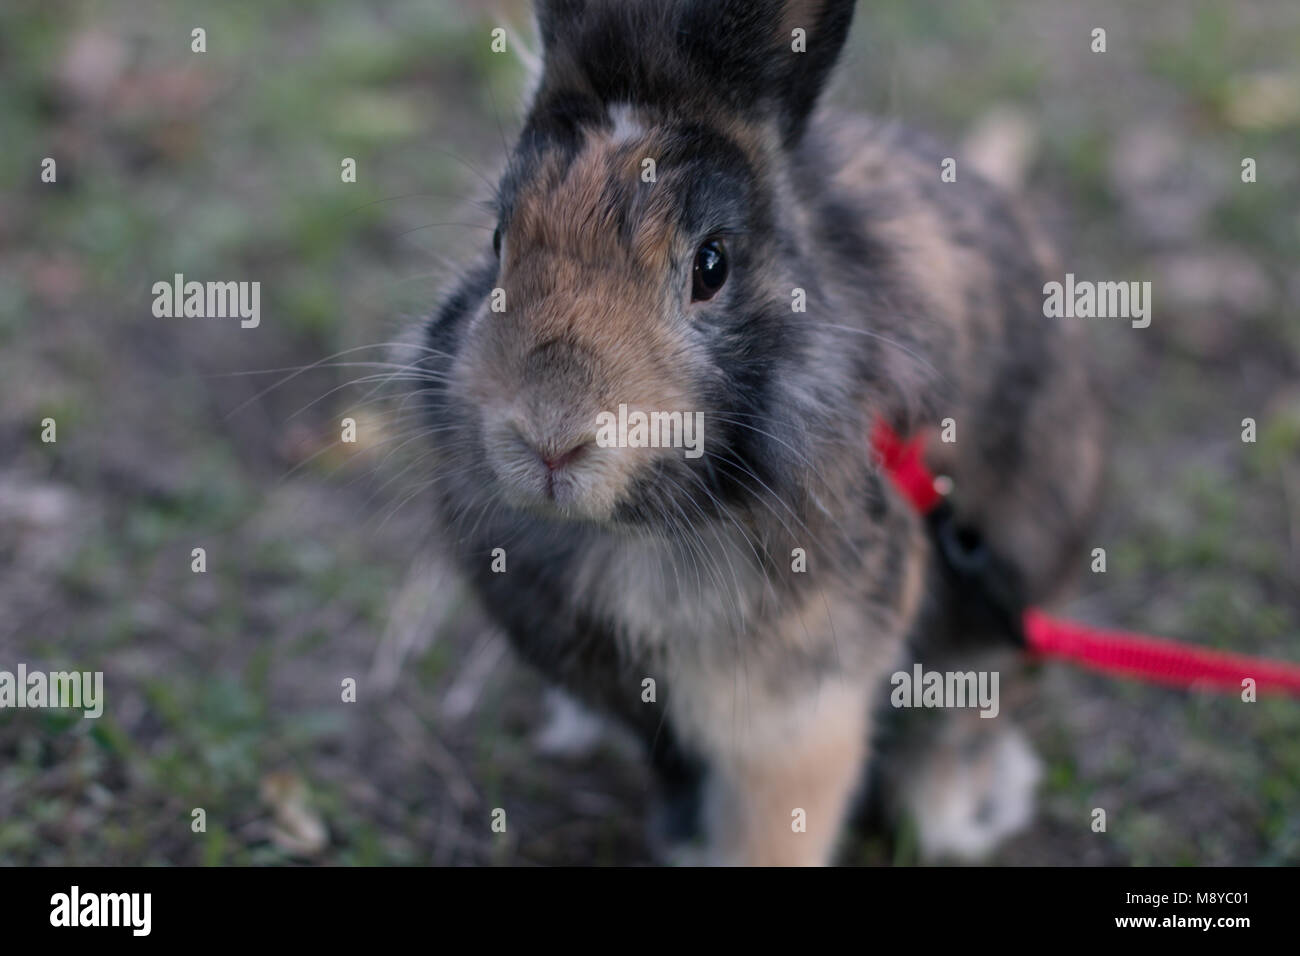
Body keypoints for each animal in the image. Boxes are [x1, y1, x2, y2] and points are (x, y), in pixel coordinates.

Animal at [410, 0, 1102, 868]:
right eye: (498, 242)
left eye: (712, 265)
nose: (549, 437)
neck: (636, 532)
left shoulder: (796, 717)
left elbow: (771, 827)